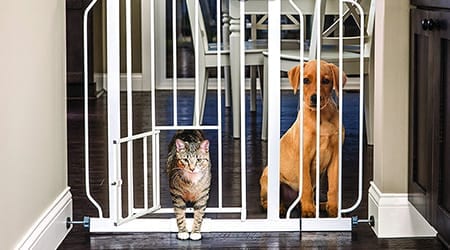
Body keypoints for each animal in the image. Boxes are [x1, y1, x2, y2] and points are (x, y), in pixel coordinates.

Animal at [258, 60, 346, 217]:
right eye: (305, 80)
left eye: (326, 81)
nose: (315, 98)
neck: (321, 117)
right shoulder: (304, 159)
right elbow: (306, 187)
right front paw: (309, 210)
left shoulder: (335, 158)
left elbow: (334, 187)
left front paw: (334, 209)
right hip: (268, 180)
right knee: (267, 201)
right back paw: (279, 208)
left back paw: (320, 205)